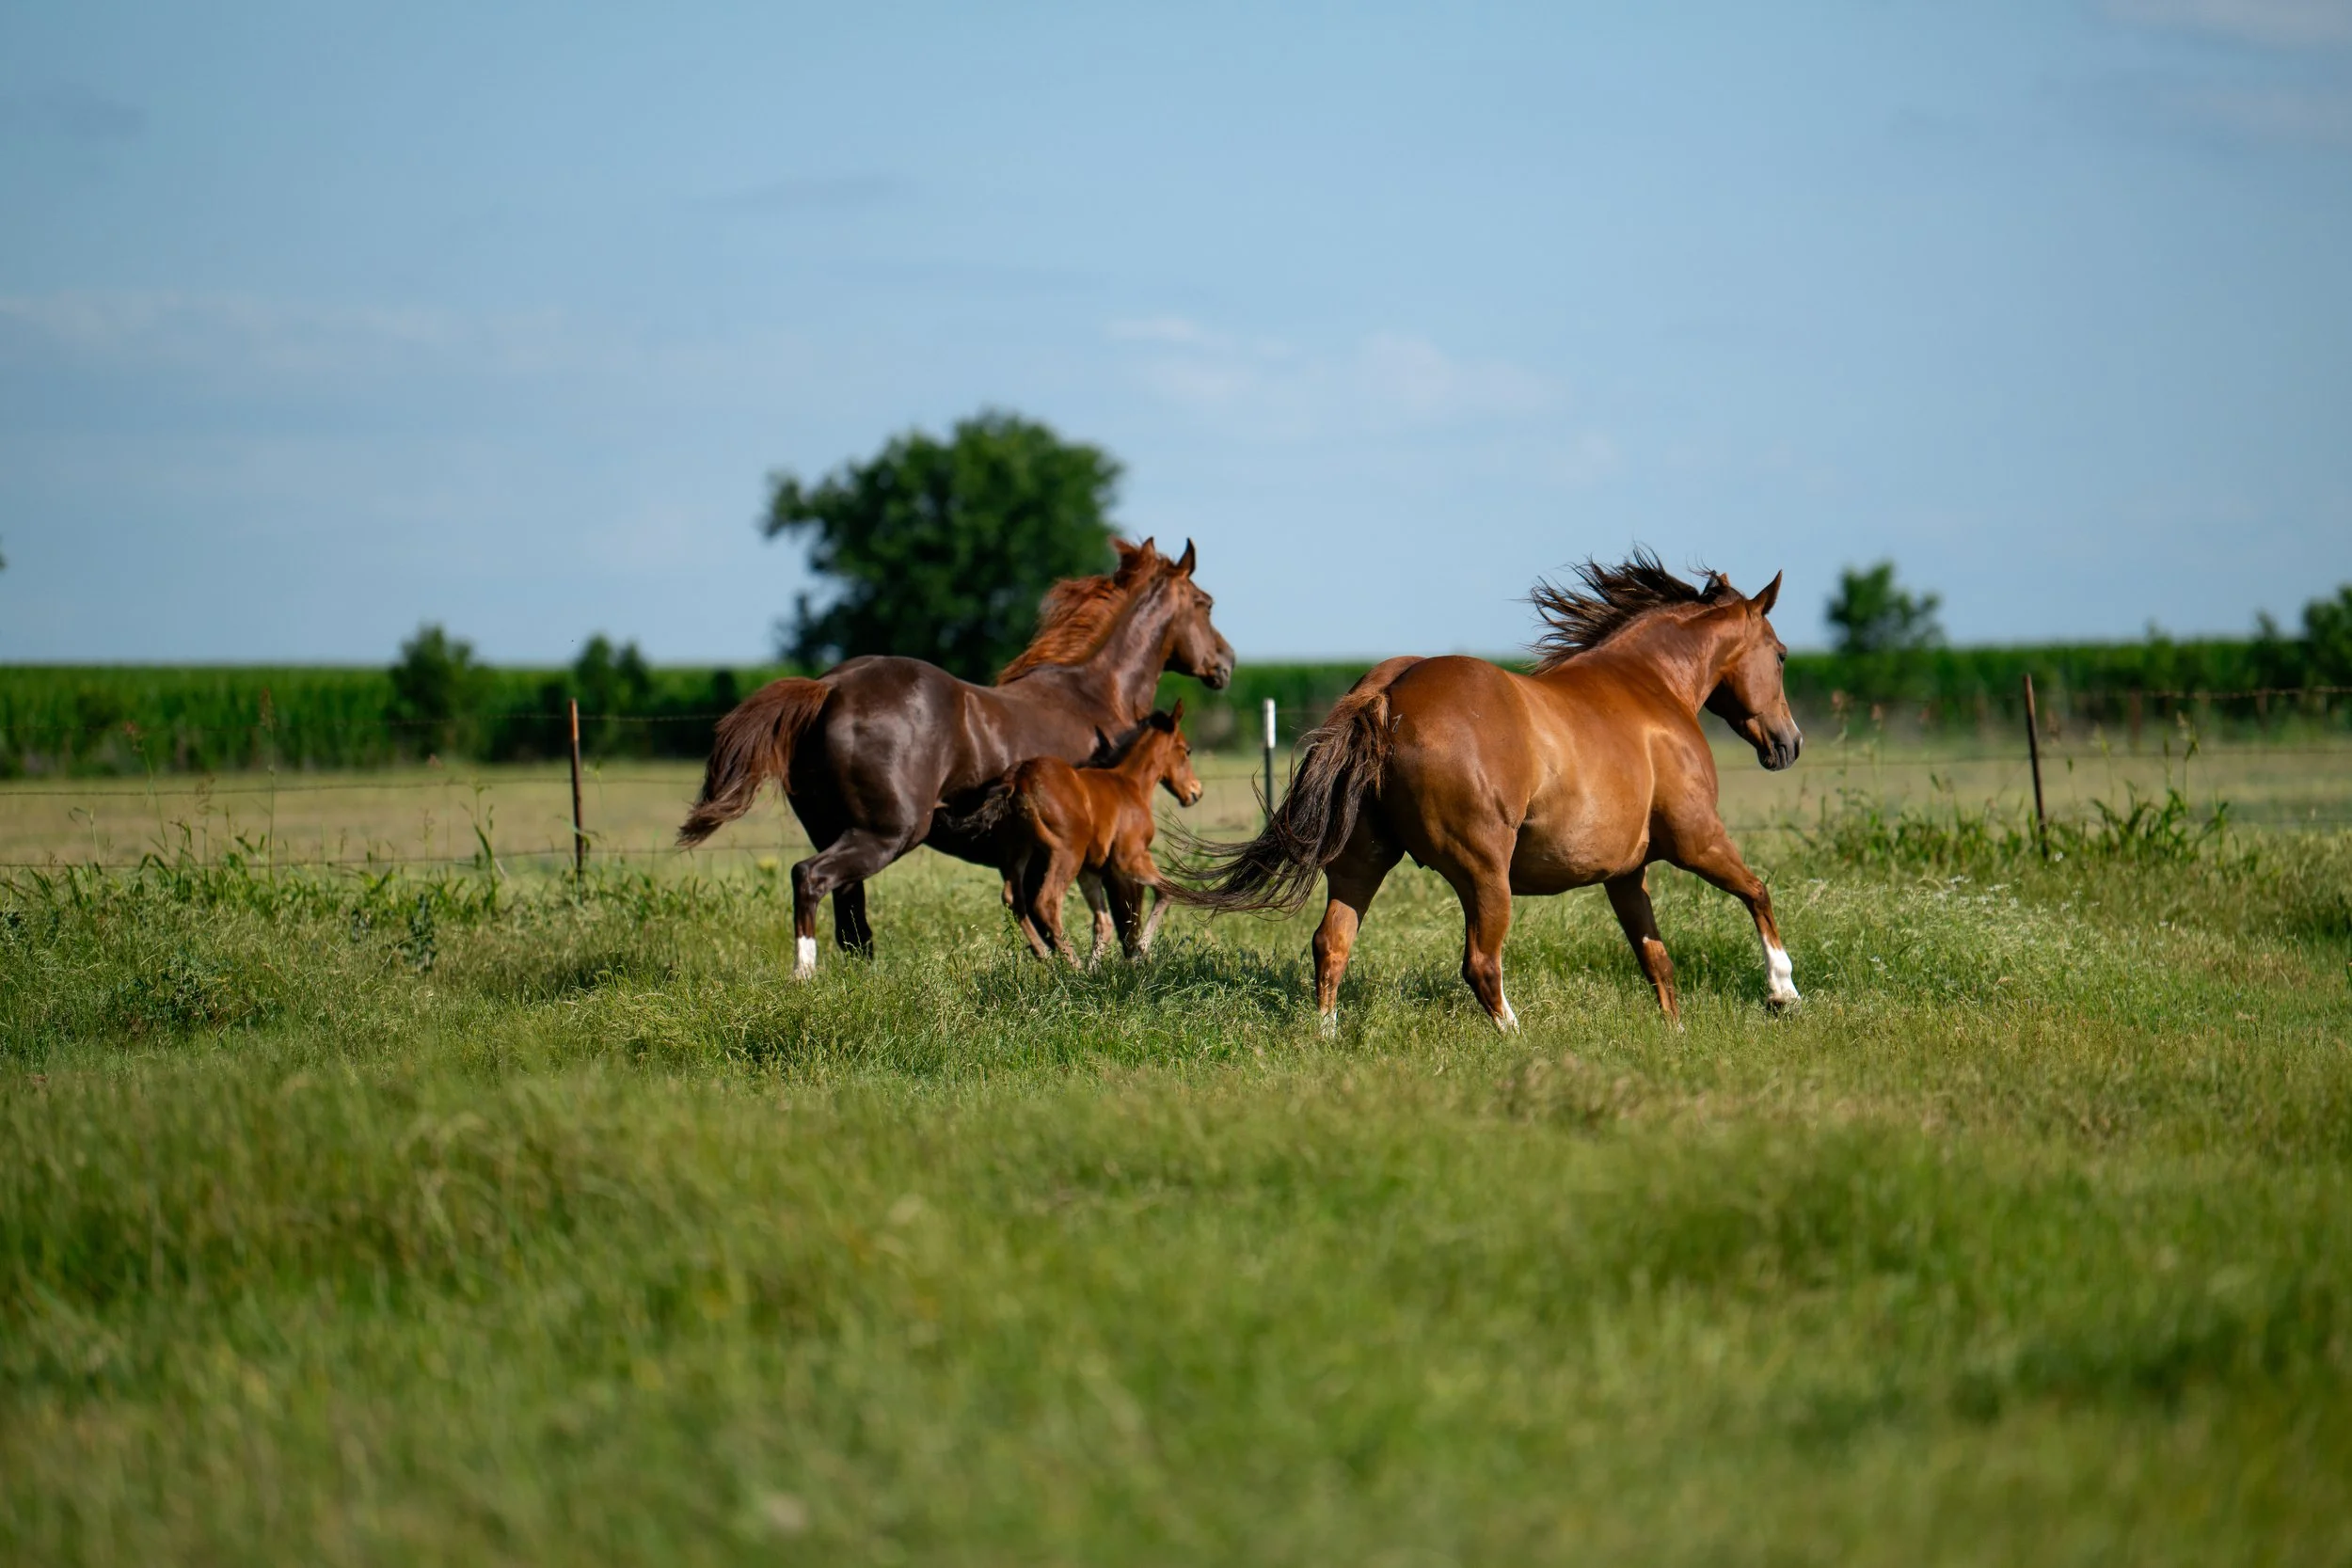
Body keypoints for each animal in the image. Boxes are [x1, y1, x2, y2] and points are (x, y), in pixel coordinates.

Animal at [952, 702, 1203, 966]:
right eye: (1187, 751)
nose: (1196, 791)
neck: (1130, 783)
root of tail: (1019, 778)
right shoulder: (1130, 859)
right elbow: (1166, 892)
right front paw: (1140, 952)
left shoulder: (1090, 871)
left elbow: (1104, 923)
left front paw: (1099, 968)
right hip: (1067, 853)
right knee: (1047, 902)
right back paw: (1073, 964)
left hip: (1018, 849)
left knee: (1013, 897)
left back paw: (1045, 955)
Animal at [1171, 551, 1801, 1032]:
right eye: (1781, 655)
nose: (1789, 744)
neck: (1651, 688)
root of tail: (1388, 695)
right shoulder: (1698, 839)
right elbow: (1758, 893)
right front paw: (1783, 992)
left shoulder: (1626, 873)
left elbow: (1657, 959)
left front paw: (1674, 1032)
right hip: (1483, 872)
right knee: (1481, 964)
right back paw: (1519, 1039)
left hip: (1362, 860)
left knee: (1331, 943)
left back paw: (1326, 1037)